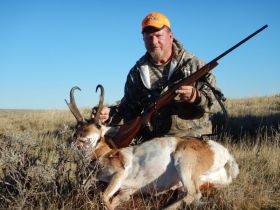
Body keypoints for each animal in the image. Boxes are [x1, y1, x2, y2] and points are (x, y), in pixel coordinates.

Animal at [65, 85, 238, 210]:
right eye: (77, 127)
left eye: (97, 125)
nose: (78, 140)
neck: (106, 153)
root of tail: (224, 153)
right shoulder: (125, 192)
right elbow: (110, 200)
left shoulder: (118, 175)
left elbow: (103, 198)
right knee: (192, 196)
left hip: (182, 162)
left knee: (193, 194)